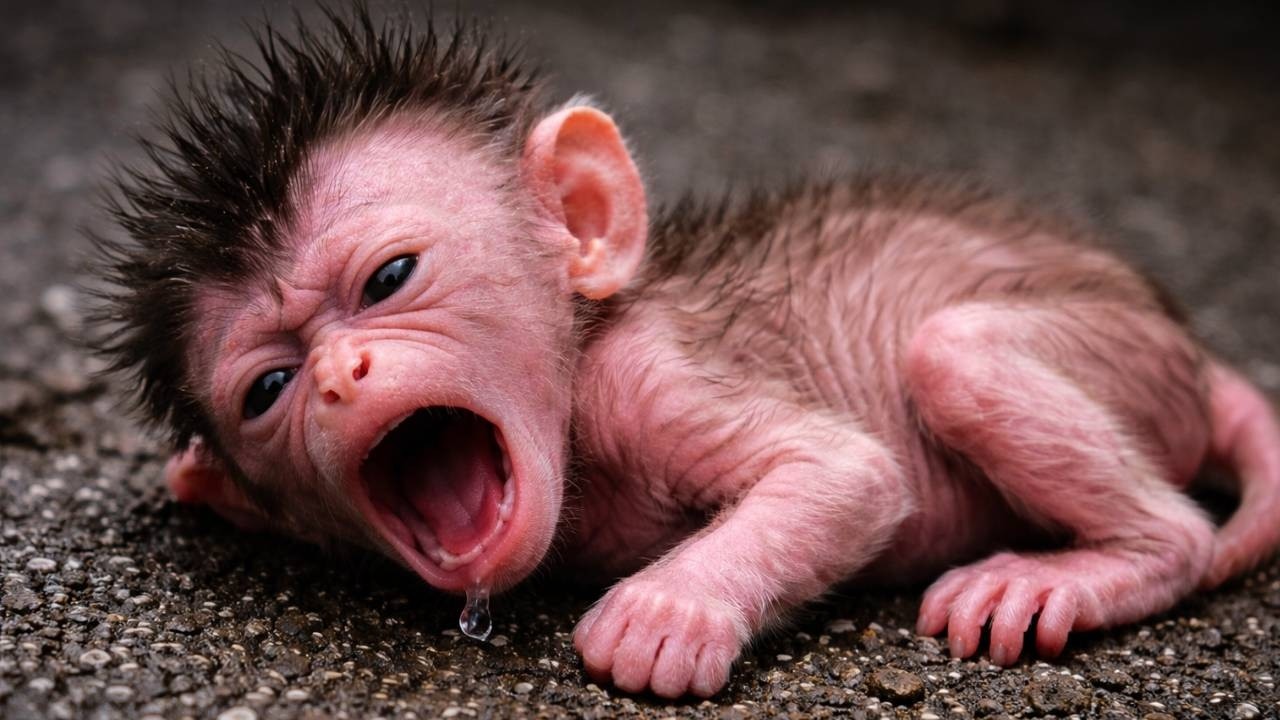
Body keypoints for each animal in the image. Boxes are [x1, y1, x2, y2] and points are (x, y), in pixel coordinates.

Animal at [90, 6, 1280, 699]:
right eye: (269, 388)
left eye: (389, 279)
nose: (341, 378)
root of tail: (1182, 344)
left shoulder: (643, 379)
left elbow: (846, 474)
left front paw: (669, 612)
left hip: (1110, 348)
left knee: (962, 356)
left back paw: (1089, 568)